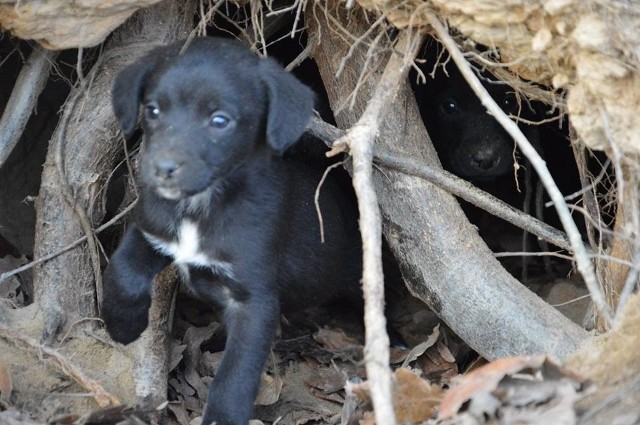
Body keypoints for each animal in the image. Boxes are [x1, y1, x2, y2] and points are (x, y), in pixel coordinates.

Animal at [102, 37, 362, 424]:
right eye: (153, 110)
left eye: (219, 120)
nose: (161, 168)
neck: (202, 207)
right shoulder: (153, 231)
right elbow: (123, 270)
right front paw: (122, 323)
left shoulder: (254, 301)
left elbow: (236, 374)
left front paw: (222, 416)